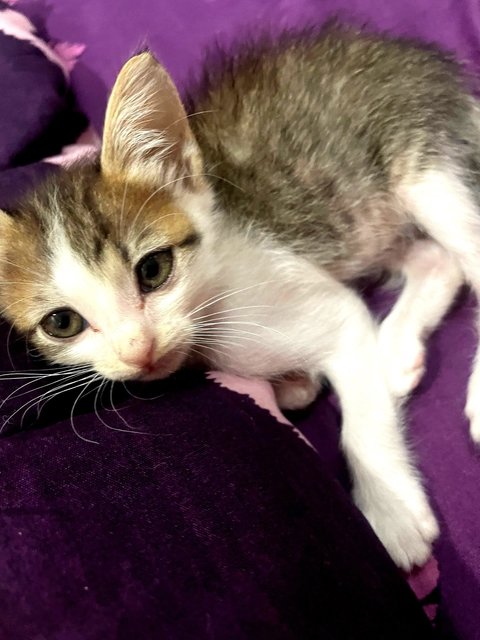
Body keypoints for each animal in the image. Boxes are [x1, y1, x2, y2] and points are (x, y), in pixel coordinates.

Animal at [3, 21, 480, 568]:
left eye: (153, 270)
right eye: (62, 323)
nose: (138, 349)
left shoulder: (327, 309)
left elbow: (362, 417)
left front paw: (392, 513)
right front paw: (299, 383)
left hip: (421, 161)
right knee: (437, 258)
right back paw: (397, 351)